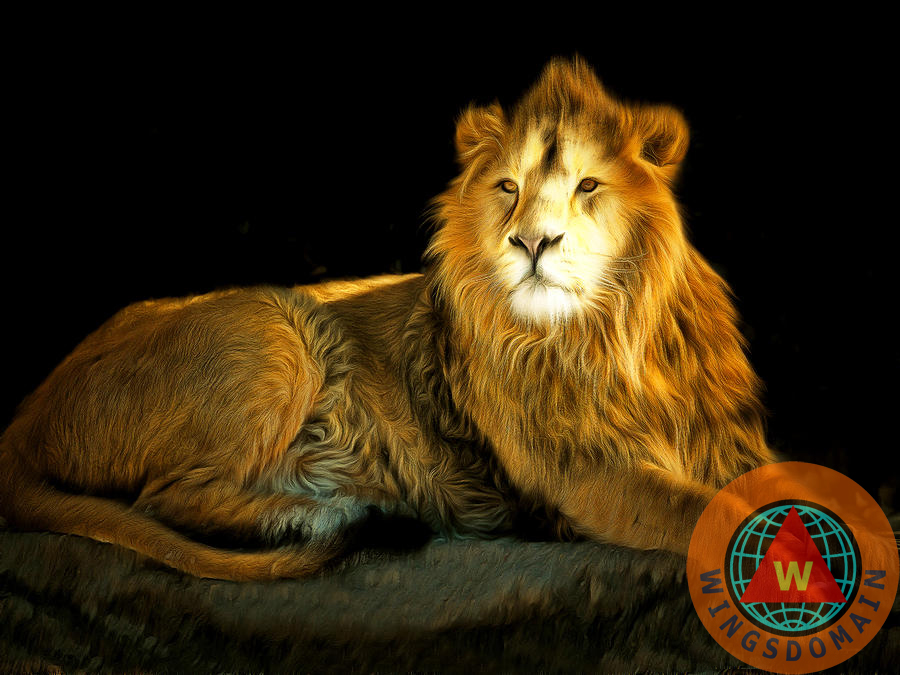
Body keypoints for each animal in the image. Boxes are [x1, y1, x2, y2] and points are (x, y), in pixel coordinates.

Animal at [0, 57, 773, 580]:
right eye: (508, 187)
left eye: (589, 185)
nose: (532, 243)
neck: (609, 336)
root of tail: (26, 414)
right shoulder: (579, 474)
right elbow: (707, 509)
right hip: (275, 325)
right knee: (164, 498)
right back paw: (331, 514)